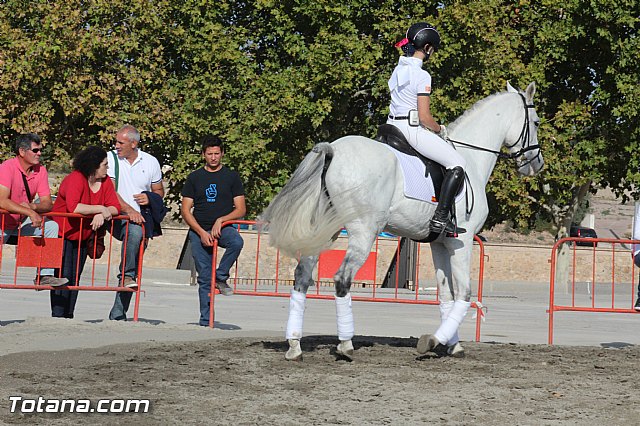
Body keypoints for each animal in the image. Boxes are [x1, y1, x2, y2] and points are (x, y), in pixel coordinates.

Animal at [260, 82, 544, 360]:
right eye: (537, 122)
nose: (536, 164)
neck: (471, 158)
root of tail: (334, 151)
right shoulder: (461, 242)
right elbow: (464, 294)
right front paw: (434, 341)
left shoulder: (439, 243)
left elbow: (446, 295)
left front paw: (452, 345)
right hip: (364, 231)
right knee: (342, 278)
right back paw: (345, 346)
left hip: (323, 230)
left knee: (302, 276)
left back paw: (295, 346)